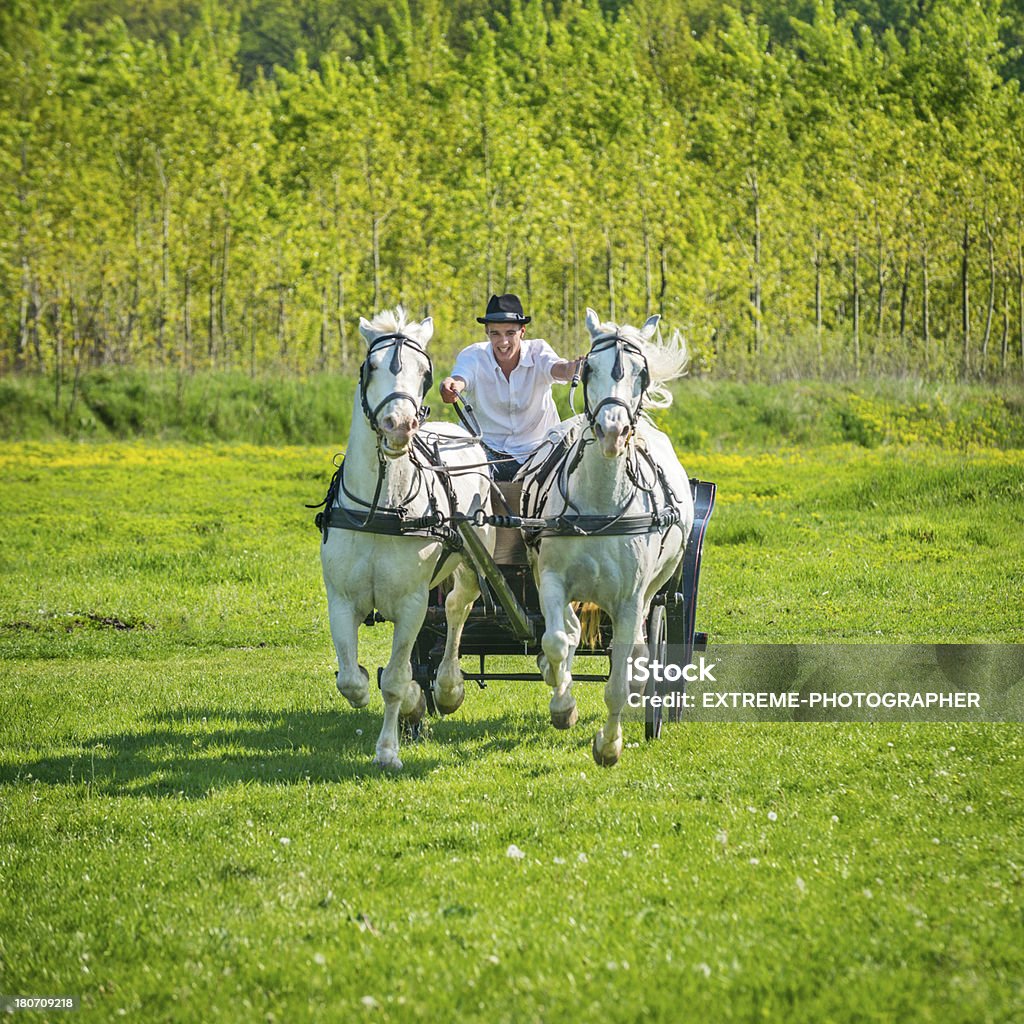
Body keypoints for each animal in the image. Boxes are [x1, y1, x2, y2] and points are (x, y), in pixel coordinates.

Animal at [321, 307, 493, 770]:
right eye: (371, 367)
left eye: (424, 373)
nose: (399, 424)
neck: (381, 509)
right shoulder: (341, 599)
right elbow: (351, 680)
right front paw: (373, 686)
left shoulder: (412, 601)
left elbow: (396, 681)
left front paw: (387, 750)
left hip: (470, 563)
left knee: (455, 609)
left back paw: (448, 687)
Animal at [520, 307, 696, 765]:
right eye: (589, 368)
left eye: (641, 373)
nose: (612, 430)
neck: (601, 503)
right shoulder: (551, 580)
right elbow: (555, 641)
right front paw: (563, 706)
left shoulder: (630, 598)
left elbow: (618, 676)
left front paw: (609, 744)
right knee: (567, 633)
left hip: (653, 587)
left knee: (637, 647)